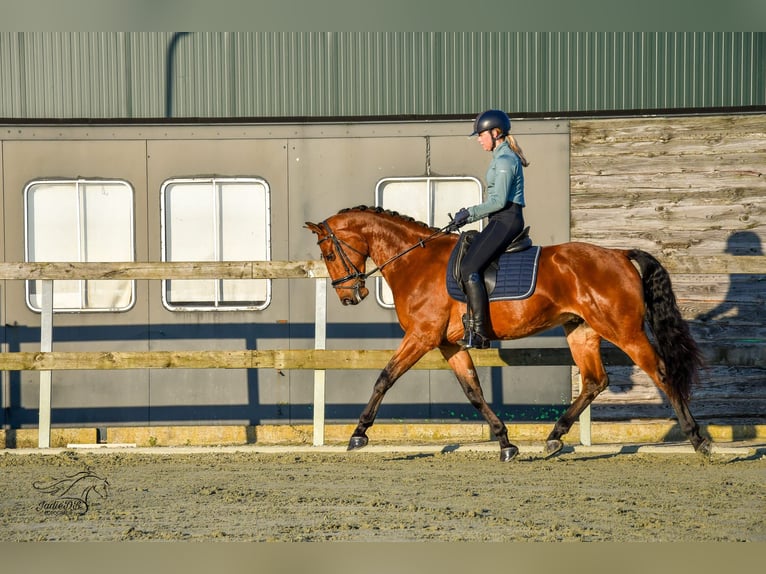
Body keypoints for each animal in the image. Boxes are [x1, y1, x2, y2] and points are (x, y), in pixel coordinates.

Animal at [306, 207, 712, 464]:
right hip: (580, 329)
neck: (414, 262)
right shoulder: (448, 343)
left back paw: (698, 439)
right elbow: (473, 391)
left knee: (661, 373)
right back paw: (553, 438)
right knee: (595, 381)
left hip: (623, 330)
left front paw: (358, 434)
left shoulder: (422, 337)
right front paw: (505, 442)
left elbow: (385, 377)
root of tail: (619, 254)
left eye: (329, 253)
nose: (349, 296)